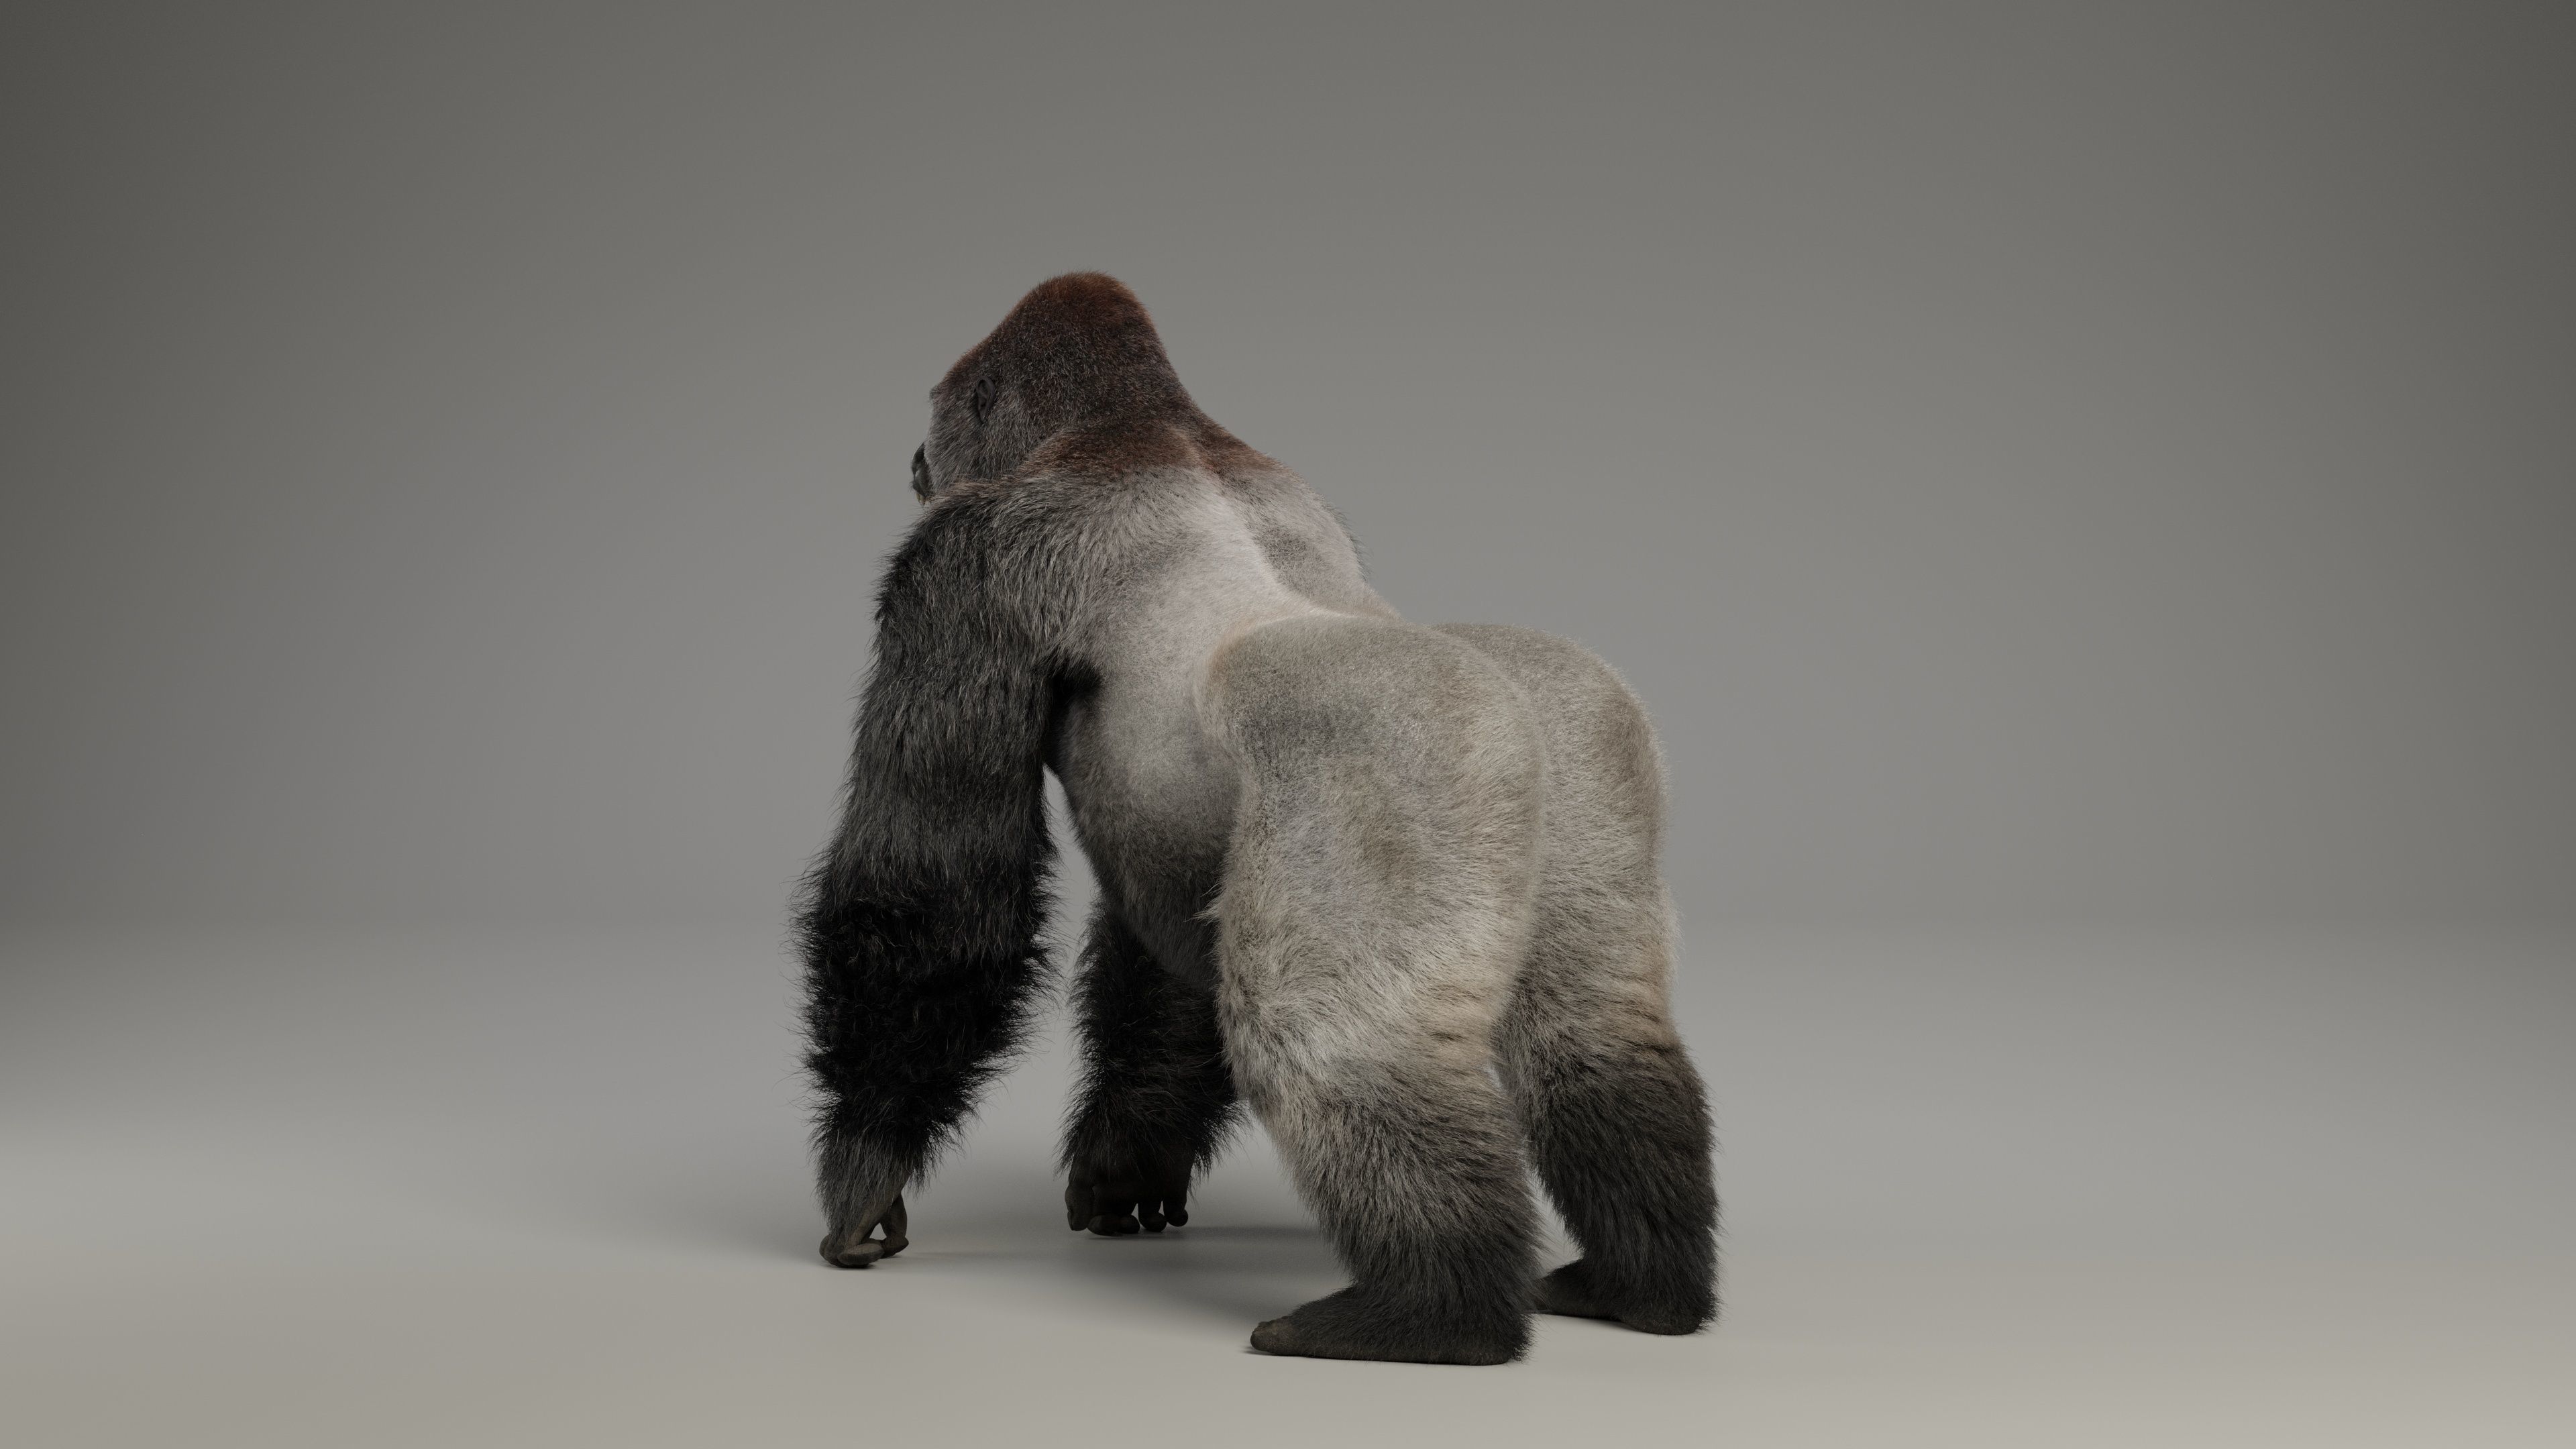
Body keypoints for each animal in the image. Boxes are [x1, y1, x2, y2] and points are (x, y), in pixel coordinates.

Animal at [796, 274, 1716, 1364]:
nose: (915, 462)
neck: (1138, 422)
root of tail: (1515, 713)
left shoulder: (957, 572)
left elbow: (937, 898)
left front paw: (866, 1169)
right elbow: (1161, 943)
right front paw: (1131, 1163)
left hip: (1391, 757)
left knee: (1324, 1033)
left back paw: (1431, 1312)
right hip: (1590, 753)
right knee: (1597, 1028)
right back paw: (1639, 1283)